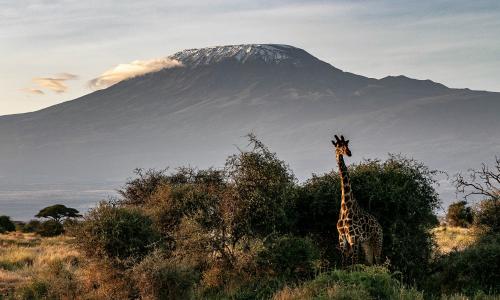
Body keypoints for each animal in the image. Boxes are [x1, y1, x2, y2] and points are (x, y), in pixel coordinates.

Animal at [332, 135, 382, 266]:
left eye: (347, 145)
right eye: (338, 146)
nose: (349, 153)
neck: (346, 206)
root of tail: (380, 226)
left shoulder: (354, 238)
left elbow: (354, 263)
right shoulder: (342, 238)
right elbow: (344, 264)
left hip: (377, 240)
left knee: (379, 262)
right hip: (366, 244)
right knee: (370, 262)